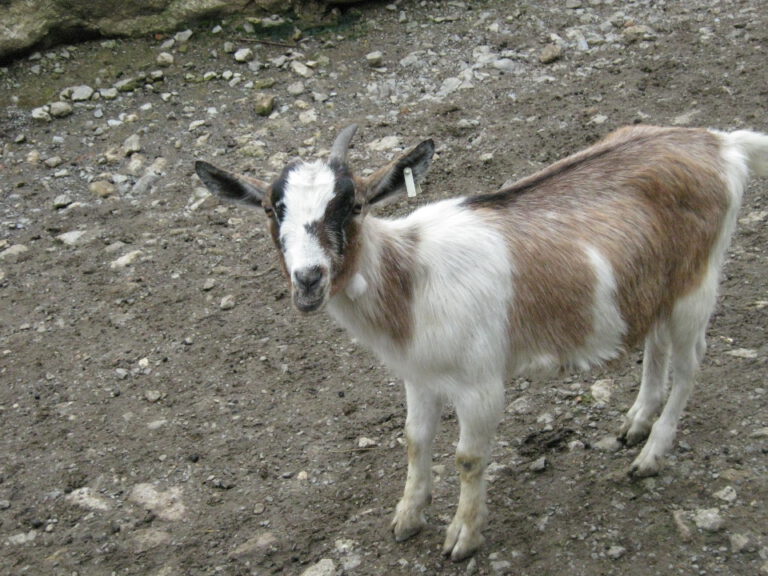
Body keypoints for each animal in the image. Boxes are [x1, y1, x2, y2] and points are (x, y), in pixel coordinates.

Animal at [195, 124, 768, 561]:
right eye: (271, 210)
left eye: (354, 204)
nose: (309, 279)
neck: (411, 280)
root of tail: (722, 143)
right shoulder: (419, 376)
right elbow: (414, 439)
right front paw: (407, 517)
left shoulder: (480, 384)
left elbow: (469, 458)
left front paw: (462, 538)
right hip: (655, 287)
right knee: (655, 345)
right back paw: (635, 422)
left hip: (697, 284)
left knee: (691, 365)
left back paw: (650, 454)